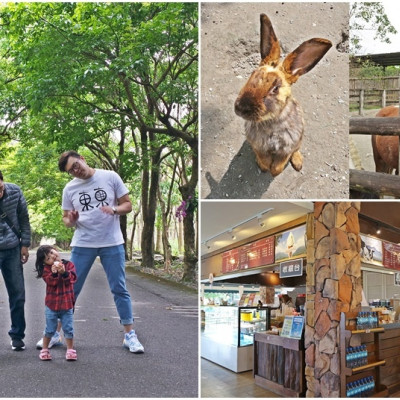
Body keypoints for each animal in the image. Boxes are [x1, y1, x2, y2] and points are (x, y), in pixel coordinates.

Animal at [234, 14, 332, 177]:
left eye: (275, 88)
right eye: (252, 75)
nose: (241, 108)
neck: (271, 122)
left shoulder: (287, 148)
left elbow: (279, 165)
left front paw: (273, 172)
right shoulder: (258, 146)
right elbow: (264, 158)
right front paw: (264, 167)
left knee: (296, 150)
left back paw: (298, 163)